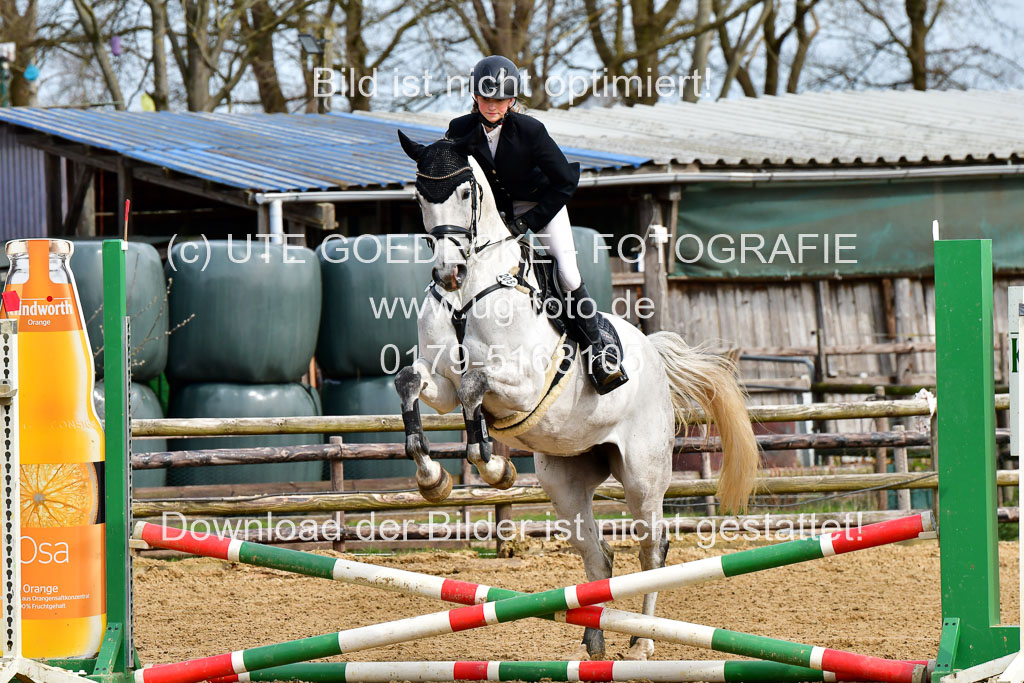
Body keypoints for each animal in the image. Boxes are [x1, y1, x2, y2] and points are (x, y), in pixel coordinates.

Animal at [393, 133, 761, 663]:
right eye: (420, 195)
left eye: (465, 192)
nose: (448, 272)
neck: (469, 293)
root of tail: (653, 353)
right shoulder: (438, 382)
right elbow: (413, 383)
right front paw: (433, 478)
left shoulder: (523, 384)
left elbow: (474, 387)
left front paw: (494, 468)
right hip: (566, 482)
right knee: (598, 555)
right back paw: (594, 640)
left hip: (643, 477)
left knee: (653, 549)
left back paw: (642, 644)